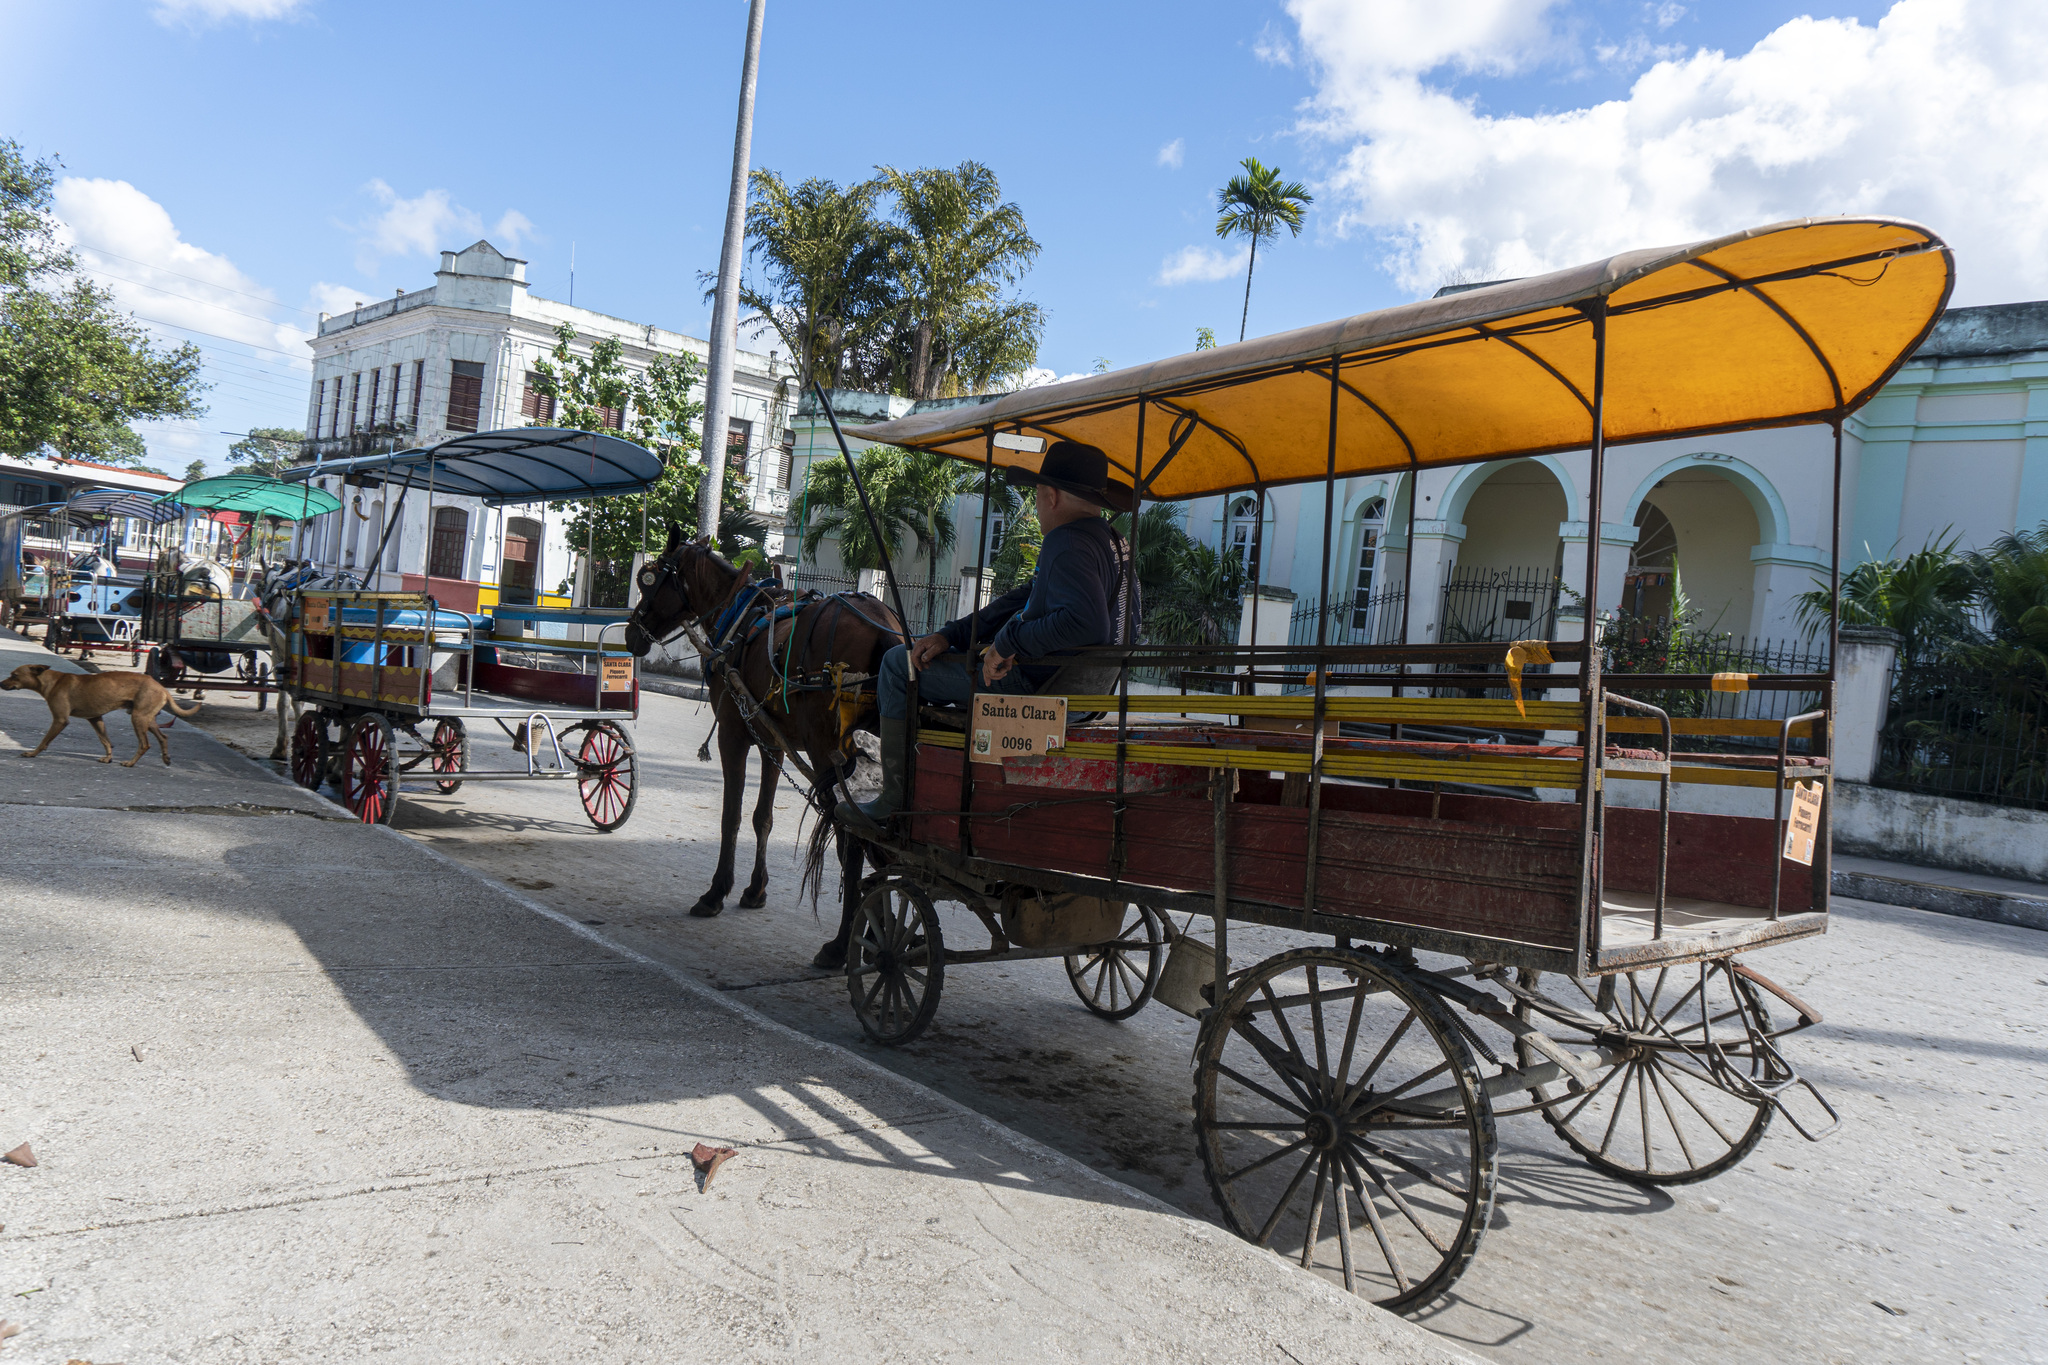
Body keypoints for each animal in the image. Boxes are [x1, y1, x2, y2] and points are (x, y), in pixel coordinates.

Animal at [2, 663, 203, 769]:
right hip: (148, 719)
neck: (52, 681)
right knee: (163, 737)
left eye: (14, 675)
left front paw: (32, 753)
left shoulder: (60, 720)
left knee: (145, 744)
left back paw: (131, 763)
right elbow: (105, 740)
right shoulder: (95, 718)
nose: (0, 684)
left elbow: (44, 741)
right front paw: (108, 758)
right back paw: (166, 758)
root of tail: (162, 687)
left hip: (138, 719)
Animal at [622, 527, 905, 965]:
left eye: (648, 580)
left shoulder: (734, 733)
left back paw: (843, 944)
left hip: (829, 753)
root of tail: (886, 628)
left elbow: (732, 816)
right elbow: (762, 818)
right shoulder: (772, 739)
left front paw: (716, 893)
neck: (738, 613)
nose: (631, 633)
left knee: (851, 839)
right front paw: (756, 889)